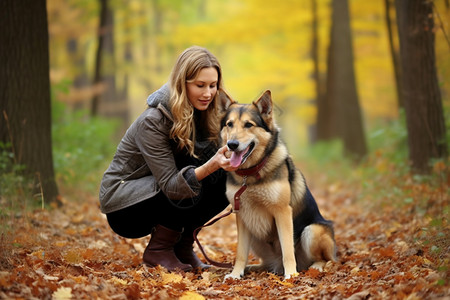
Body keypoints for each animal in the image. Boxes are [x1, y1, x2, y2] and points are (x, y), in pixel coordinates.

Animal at [220, 89, 336, 278]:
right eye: (229, 124)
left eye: (248, 125)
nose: (232, 144)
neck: (251, 174)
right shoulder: (242, 216)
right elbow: (240, 252)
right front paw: (236, 274)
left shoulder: (282, 212)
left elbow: (287, 249)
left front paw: (291, 275)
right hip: (255, 234)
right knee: (265, 263)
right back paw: (252, 267)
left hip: (312, 230)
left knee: (325, 259)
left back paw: (315, 267)